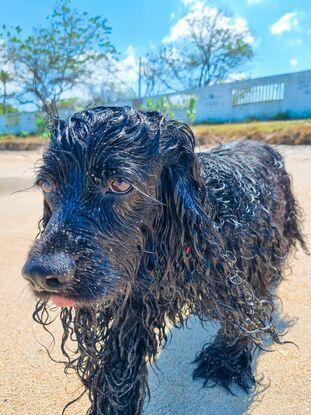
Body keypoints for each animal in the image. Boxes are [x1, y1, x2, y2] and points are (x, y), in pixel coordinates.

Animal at [22, 107, 308, 415]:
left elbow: (245, 314)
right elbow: (120, 365)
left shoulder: (252, 266)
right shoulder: (135, 298)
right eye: (47, 184)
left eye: (120, 183)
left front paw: (225, 360)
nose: (40, 274)